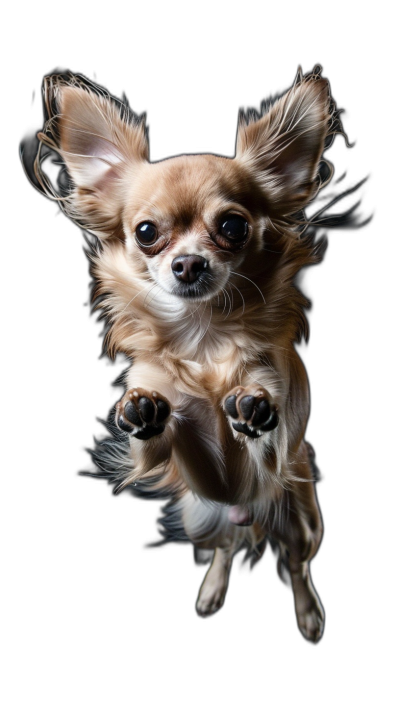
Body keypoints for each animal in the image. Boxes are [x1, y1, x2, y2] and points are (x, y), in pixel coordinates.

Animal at [30, 69, 340, 644]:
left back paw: (309, 613)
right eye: (147, 233)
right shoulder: (157, 447)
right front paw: (141, 409)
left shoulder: (277, 444)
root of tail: (244, 514)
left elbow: (262, 418)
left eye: (234, 227)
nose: (189, 263)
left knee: (296, 562)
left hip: (302, 519)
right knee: (225, 547)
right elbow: (152, 425)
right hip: (201, 516)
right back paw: (212, 589)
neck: (203, 336)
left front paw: (251, 406)